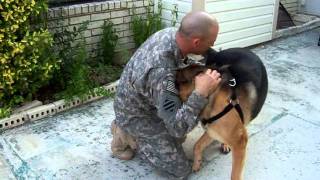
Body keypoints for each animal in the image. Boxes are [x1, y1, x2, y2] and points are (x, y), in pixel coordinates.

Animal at [176, 47, 268, 180]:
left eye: (180, 81)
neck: (212, 96)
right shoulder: (212, 130)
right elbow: (197, 145)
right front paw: (197, 163)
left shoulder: (240, 142)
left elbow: (235, 175)